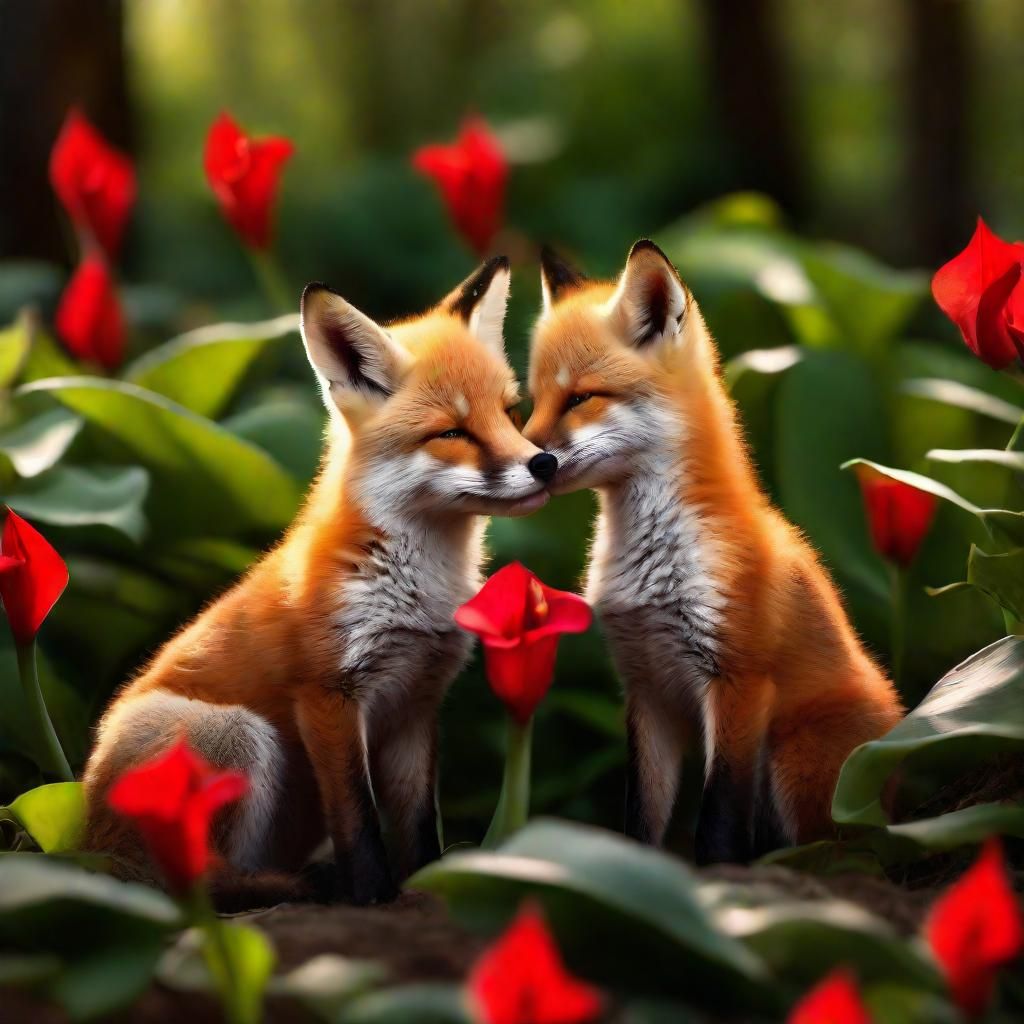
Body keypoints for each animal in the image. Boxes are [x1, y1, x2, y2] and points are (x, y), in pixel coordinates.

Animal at [82, 257, 558, 907]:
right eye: (453, 433)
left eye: (509, 413)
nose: (545, 463)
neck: (415, 588)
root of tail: (80, 840)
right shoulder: (328, 696)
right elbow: (359, 821)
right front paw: (374, 897)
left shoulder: (416, 703)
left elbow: (417, 825)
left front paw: (425, 886)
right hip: (236, 733)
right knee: (198, 883)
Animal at [523, 240, 903, 863]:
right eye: (531, 404)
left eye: (581, 397)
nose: (527, 461)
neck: (655, 562)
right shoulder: (647, 689)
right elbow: (640, 822)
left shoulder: (737, 682)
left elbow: (719, 821)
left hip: (794, 761)